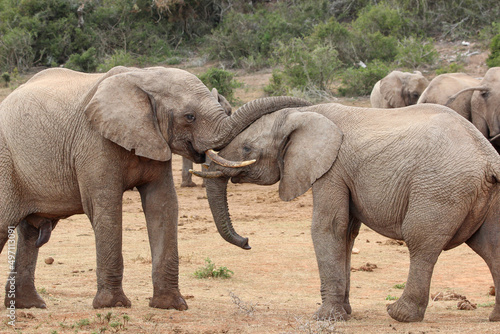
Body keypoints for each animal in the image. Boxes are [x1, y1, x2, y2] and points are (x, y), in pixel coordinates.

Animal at [0, 65, 312, 310]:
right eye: (189, 116)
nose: (247, 242)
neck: (144, 77)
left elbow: (162, 204)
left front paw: (171, 306)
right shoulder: (93, 142)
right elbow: (106, 206)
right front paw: (113, 306)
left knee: (29, 234)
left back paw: (31, 305)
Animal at [193, 103, 500, 322]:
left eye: (247, 149)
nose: (246, 242)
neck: (303, 114)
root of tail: (488, 157)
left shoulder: (332, 169)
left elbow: (329, 227)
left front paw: (325, 318)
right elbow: (348, 233)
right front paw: (345, 312)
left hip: (439, 188)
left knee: (421, 243)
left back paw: (399, 315)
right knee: (490, 247)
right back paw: (494, 318)